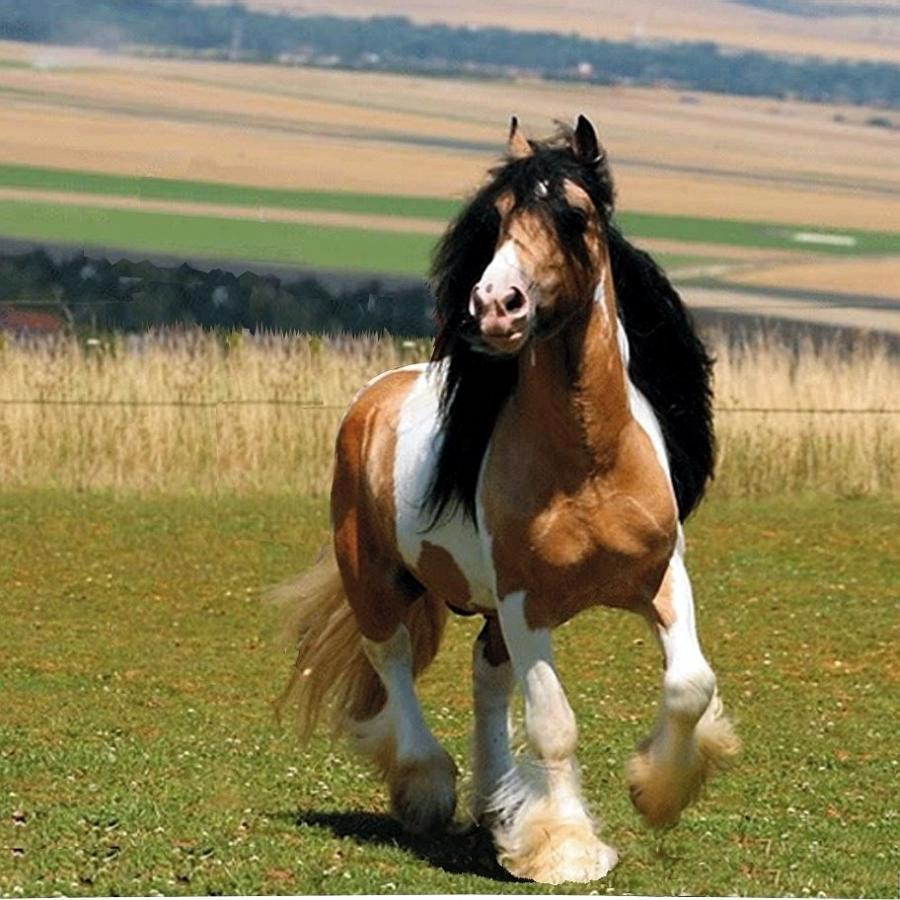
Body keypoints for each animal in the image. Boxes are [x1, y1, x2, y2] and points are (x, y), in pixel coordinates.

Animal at [274, 116, 740, 884]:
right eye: (495, 220)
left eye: (574, 216)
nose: (495, 306)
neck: (589, 465)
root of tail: (373, 398)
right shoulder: (528, 605)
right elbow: (555, 724)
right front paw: (568, 849)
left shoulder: (662, 579)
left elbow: (689, 685)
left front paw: (657, 791)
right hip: (376, 580)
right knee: (392, 660)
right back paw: (428, 787)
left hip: (487, 609)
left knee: (486, 680)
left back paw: (497, 807)